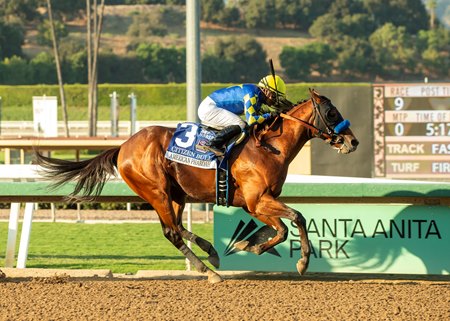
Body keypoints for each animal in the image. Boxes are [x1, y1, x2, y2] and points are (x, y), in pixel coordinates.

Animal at [34, 89, 358, 282]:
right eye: (331, 113)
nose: (353, 141)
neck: (270, 147)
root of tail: (123, 146)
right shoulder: (257, 200)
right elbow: (294, 220)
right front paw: (300, 261)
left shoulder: (254, 204)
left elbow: (279, 229)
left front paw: (248, 244)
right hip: (156, 191)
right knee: (172, 232)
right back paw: (209, 272)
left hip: (177, 194)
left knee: (175, 227)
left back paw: (211, 252)